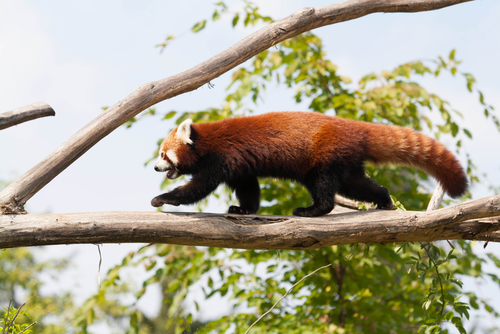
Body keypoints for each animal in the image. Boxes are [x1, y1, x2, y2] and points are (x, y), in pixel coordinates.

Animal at [150, 111, 466, 218]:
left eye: (164, 155)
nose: (155, 168)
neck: (206, 141)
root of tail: (353, 128)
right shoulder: (240, 165)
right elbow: (249, 188)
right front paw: (244, 209)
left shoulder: (221, 158)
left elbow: (198, 187)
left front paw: (163, 198)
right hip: (346, 162)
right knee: (357, 185)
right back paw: (384, 200)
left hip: (325, 158)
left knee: (324, 187)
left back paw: (312, 210)